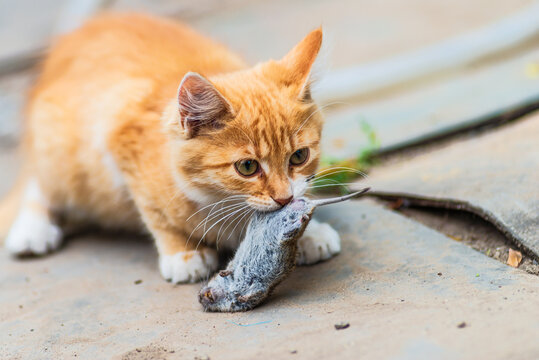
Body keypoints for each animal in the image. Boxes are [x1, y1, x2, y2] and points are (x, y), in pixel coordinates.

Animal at [1, 13, 342, 284]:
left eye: (299, 156)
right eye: (247, 167)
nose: (283, 198)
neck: (219, 200)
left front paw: (310, 230)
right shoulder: (117, 138)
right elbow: (154, 212)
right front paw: (182, 254)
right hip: (61, 152)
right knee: (40, 181)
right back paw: (31, 229)